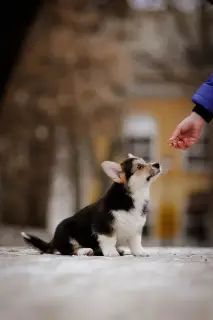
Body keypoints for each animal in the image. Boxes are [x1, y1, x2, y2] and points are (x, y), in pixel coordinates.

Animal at [21, 154, 161, 256]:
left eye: (145, 162)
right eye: (140, 167)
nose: (157, 164)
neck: (133, 196)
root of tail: (53, 241)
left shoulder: (135, 229)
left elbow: (136, 242)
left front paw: (140, 252)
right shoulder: (103, 225)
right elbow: (109, 239)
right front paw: (111, 252)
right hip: (66, 231)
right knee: (69, 250)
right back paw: (85, 250)